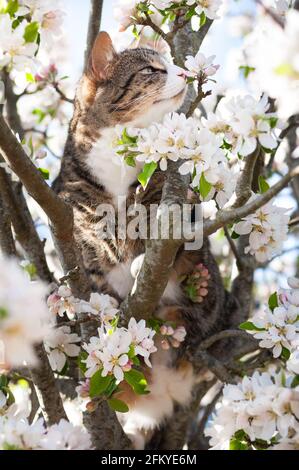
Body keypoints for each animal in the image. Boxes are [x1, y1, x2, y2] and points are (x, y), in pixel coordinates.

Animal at [55, 31, 231, 450]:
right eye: (152, 70)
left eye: (172, 64)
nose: (185, 72)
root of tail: (167, 395)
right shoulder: (70, 198)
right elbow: (93, 238)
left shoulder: (172, 192)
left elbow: (155, 222)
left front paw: (139, 256)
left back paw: (193, 295)